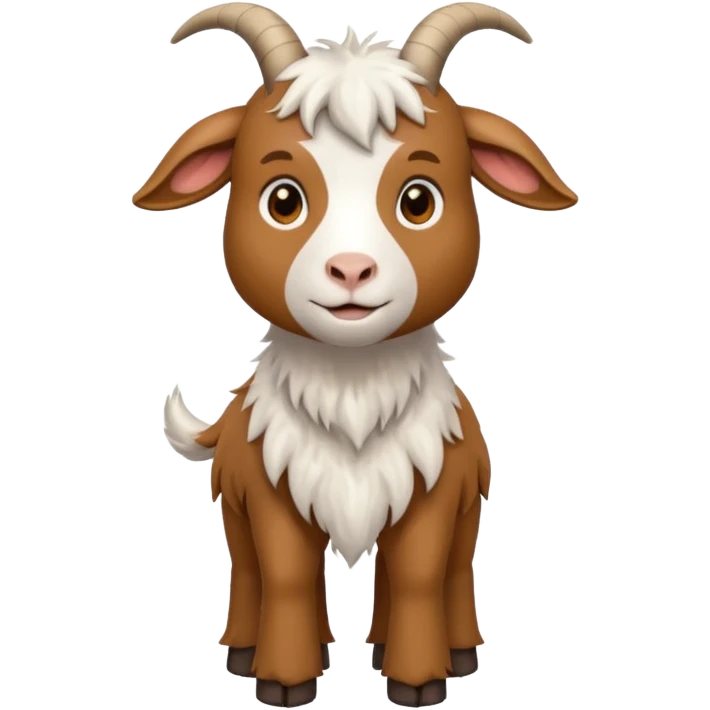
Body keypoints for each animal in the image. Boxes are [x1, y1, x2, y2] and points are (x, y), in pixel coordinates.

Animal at [139, 2, 578, 706]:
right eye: (283, 200)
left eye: (419, 200)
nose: (351, 269)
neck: (352, 388)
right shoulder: (270, 489)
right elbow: (287, 574)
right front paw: (283, 680)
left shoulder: (436, 489)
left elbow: (420, 572)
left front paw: (418, 680)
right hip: (234, 499)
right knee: (250, 569)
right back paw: (246, 650)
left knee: (451, 570)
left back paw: (453, 652)